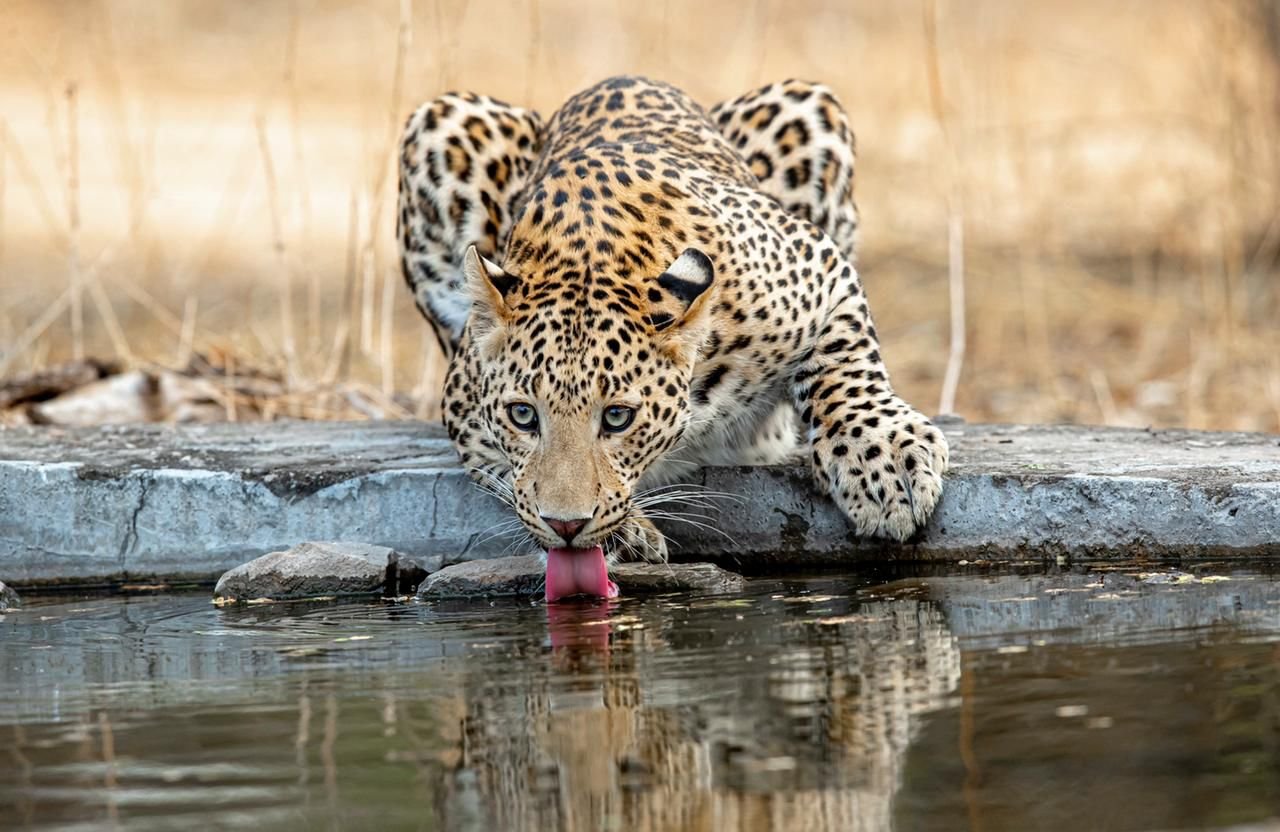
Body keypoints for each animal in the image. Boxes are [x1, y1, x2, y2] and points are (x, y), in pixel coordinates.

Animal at [397, 76, 948, 575]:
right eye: (523, 416)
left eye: (618, 418)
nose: (566, 526)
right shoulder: (464, 404)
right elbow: (508, 476)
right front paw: (627, 535)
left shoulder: (819, 265)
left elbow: (845, 363)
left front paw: (886, 462)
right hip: (441, 122)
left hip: (809, 106)